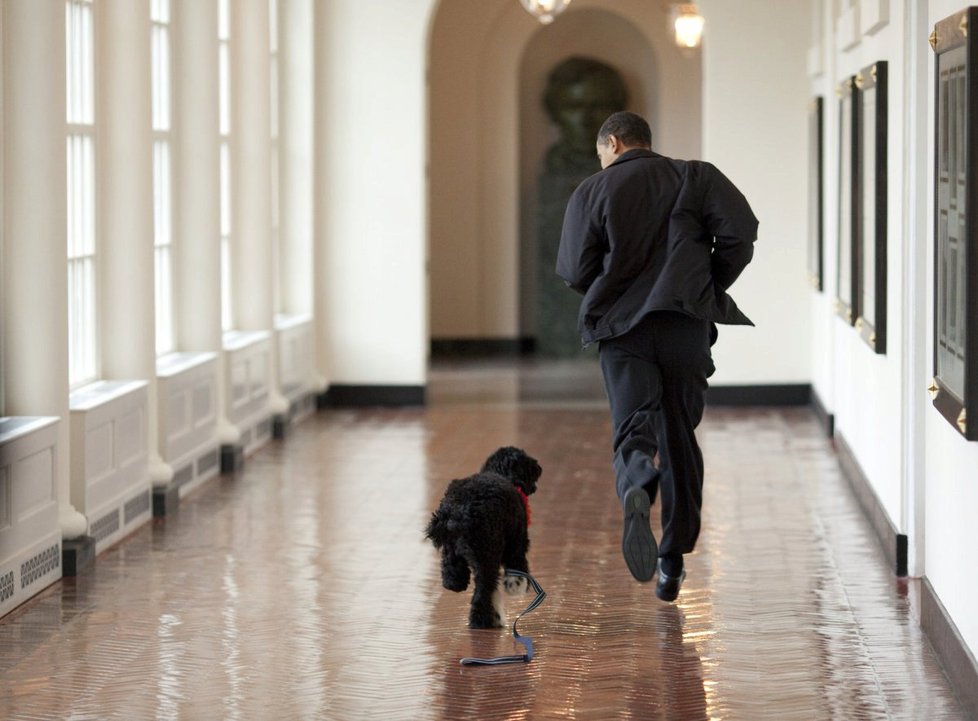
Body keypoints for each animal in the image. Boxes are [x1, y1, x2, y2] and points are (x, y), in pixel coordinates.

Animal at [422, 448, 540, 628]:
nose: (539, 469)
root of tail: (458, 510)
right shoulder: (517, 542)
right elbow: (517, 569)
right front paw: (516, 586)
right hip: (487, 553)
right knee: (482, 591)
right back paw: (481, 621)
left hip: (455, 550)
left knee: (453, 575)